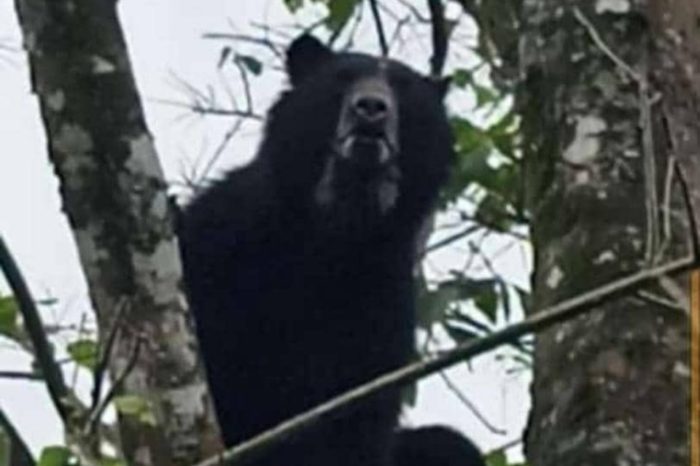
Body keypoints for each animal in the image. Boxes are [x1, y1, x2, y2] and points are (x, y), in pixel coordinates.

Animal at [179, 34, 473, 466]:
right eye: (342, 78)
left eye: (404, 90)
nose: (371, 109)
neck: (332, 233)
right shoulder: (219, 239)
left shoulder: (382, 308)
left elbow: (355, 421)